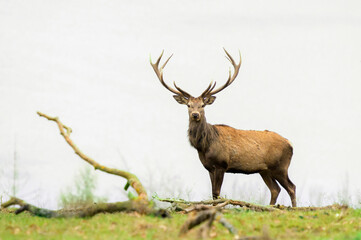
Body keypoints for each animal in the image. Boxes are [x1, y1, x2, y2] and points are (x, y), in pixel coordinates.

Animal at [149, 48, 296, 206]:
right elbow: (213, 194)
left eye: (202, 105)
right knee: (275, 189)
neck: (205, 146)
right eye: (188, 105)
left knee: (291, 187)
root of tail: (290, 143)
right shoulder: (209, 167)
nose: (195, 114)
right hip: (265, 170)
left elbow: (217, 193)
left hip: (280, 166)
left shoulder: (221, 164)